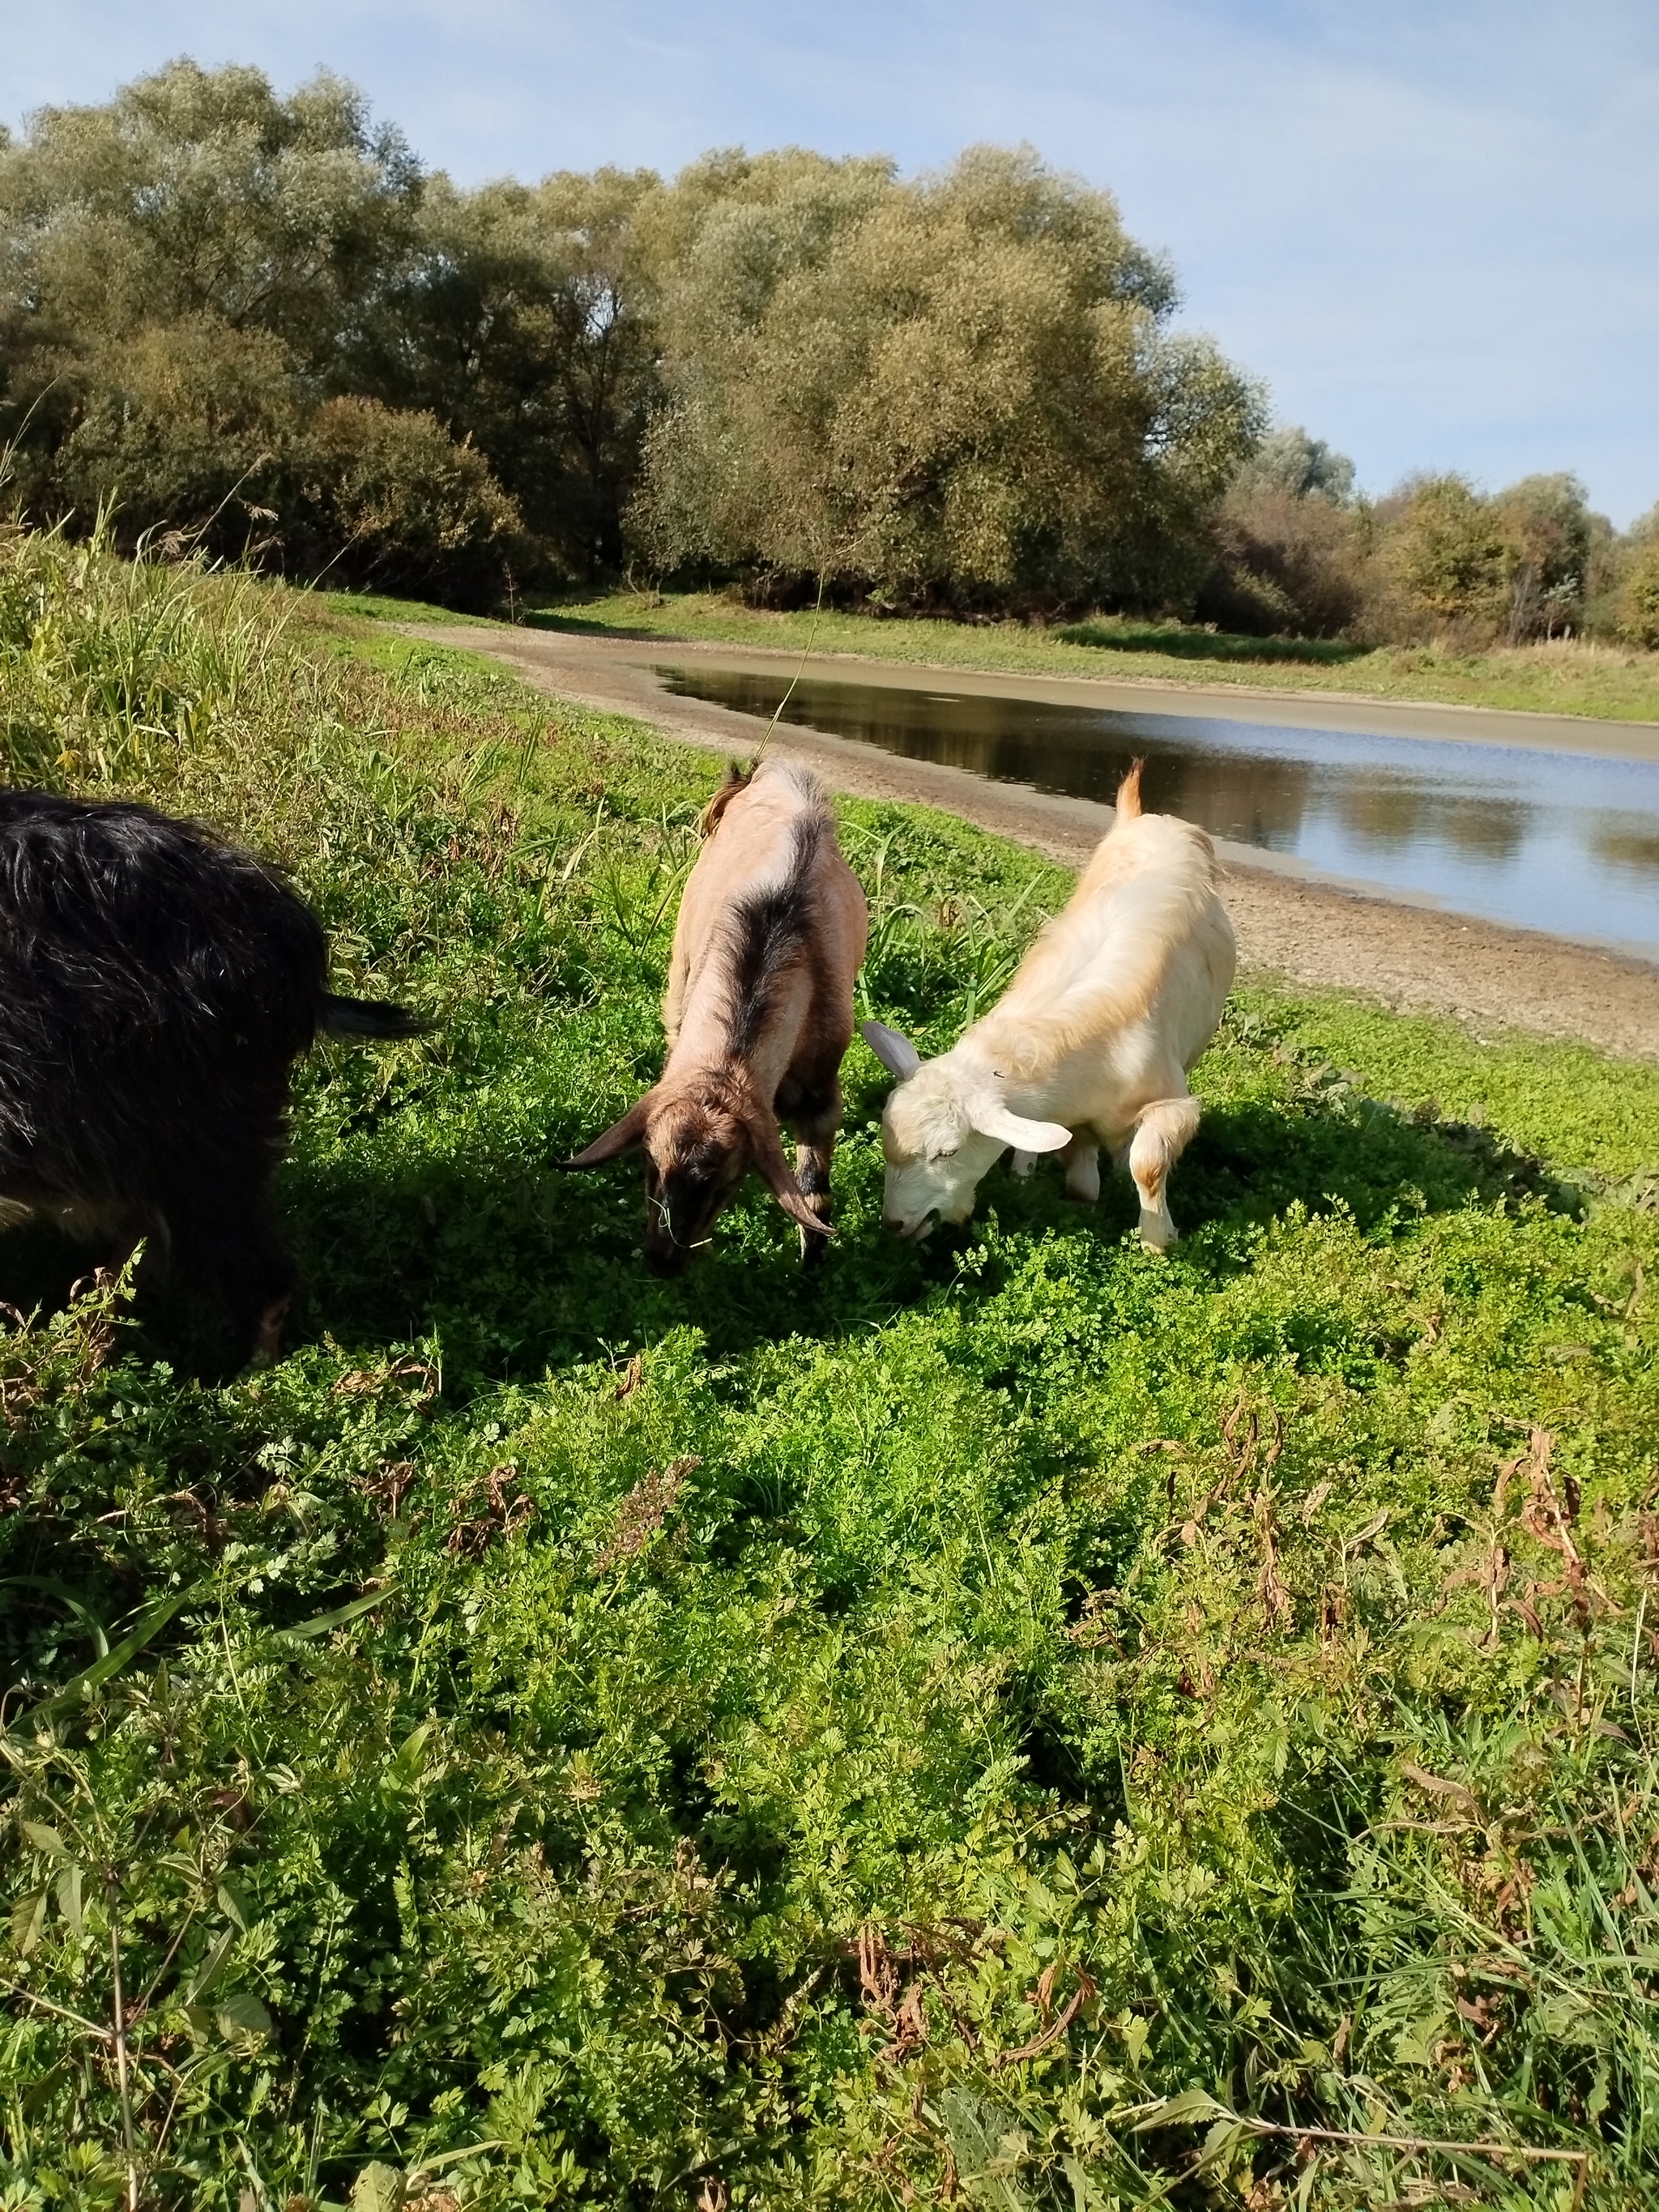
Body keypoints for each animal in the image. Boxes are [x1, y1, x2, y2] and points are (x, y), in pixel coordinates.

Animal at [566, 765, 871, 1274]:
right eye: (648, 1164)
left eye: (729, 1183)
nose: (662, 1261)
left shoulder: (821, 1094)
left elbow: (816, 1198)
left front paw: (810, 1272)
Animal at [871, 761, 1239, 1247]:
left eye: (948, 1152)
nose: (894, 1225)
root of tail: (1148, 818)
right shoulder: (1072, 1117)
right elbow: (1079, 1181)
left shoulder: (1172, 1104)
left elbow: (1147, 1162)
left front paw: (1158, 1239)